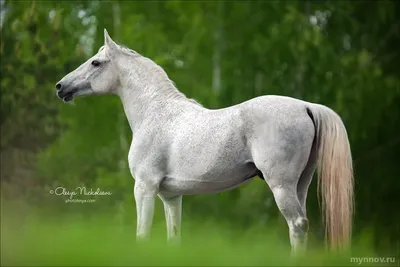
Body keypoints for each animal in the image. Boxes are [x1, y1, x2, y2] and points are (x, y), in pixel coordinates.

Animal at [56, 30, 354, 254]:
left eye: (95, 63)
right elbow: (173, 237)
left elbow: (142, 234)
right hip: (300, 185)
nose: (60, 87)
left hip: (281, 186)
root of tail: (306, 106)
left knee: (297, 225)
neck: (156, 112)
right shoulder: (170, 196)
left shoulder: (145, 188)